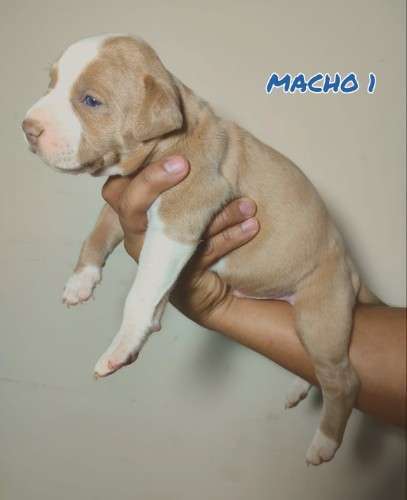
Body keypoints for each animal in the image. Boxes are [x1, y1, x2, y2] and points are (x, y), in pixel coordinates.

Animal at [22, 34, 382, 465]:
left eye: (90, 100)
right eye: (51, 84)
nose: (27, 128)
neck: (169, 138)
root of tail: (351, 268)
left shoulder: (178, 218)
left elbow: (141, 291)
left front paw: (123, 345)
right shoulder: (127, 199)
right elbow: (99, 233)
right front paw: (81, 281)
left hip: (320, 314)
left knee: (344, 380)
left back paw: (324, 443)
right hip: (307, 322)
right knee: (321, 367)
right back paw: (301, 388)